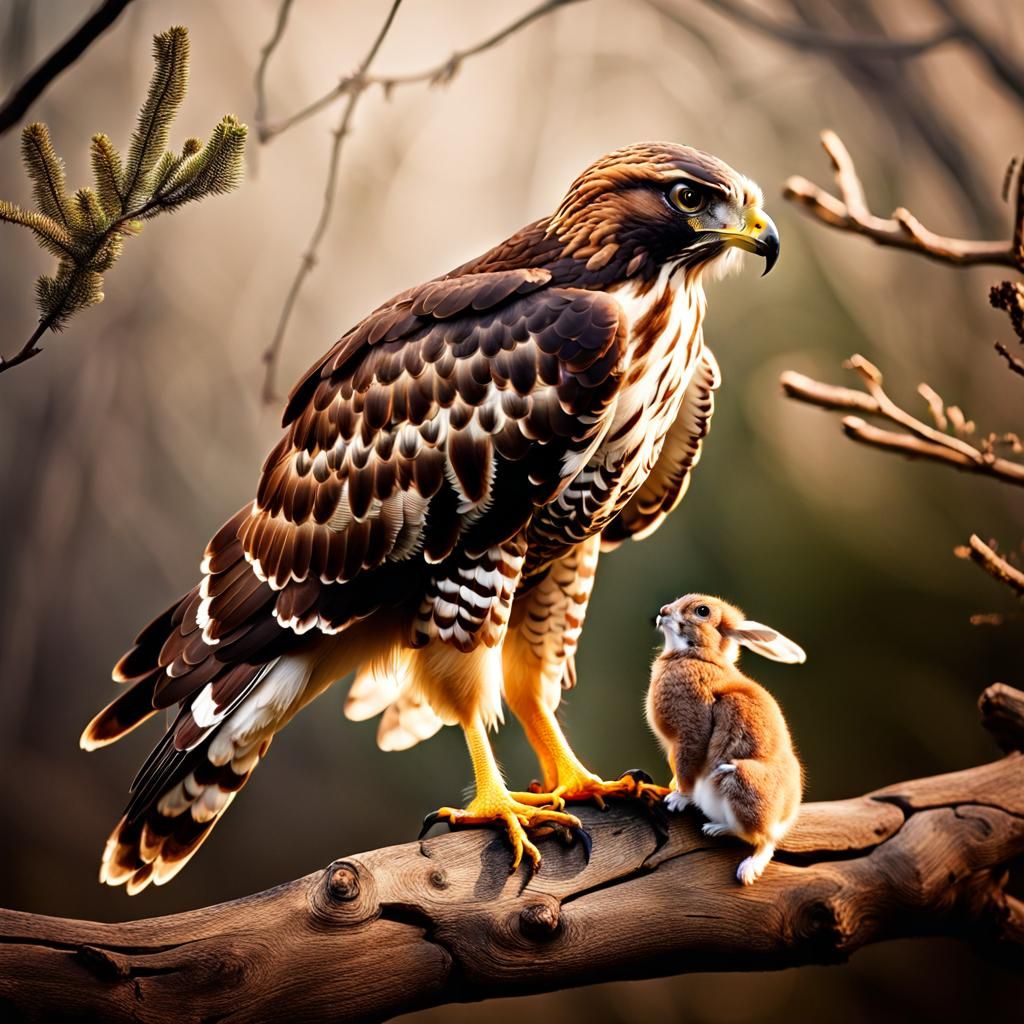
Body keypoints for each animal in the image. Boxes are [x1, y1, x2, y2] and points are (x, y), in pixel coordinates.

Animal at [647, 593, 806, 885]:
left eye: (702, 611)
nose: (663, 611)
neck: (698, 657)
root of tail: (780, 822)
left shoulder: (689, 731)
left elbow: (688, 765)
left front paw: (677, 799)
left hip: (737, 778)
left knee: (760, 841)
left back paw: (723, 837)